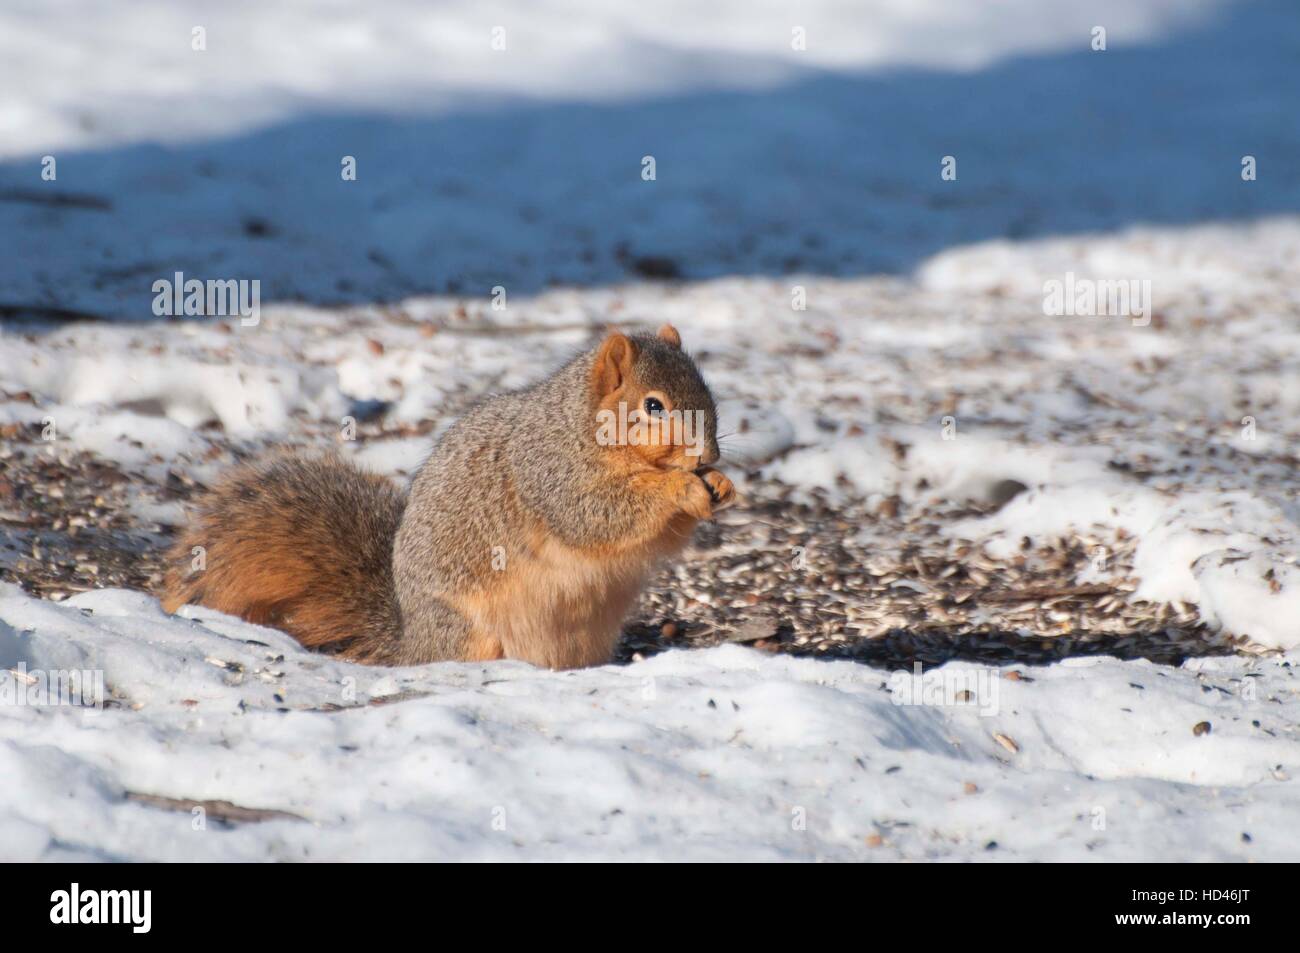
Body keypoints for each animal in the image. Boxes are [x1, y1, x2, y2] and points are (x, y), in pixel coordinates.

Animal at [160, 324, 735, 669]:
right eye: (653, 406)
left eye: (708, 391)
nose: (707, 455)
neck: (586, 427)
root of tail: (412, 643)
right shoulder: (549, 471)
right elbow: (596, 514)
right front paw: (684, 486)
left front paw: (720, 486)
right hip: (468, 630)